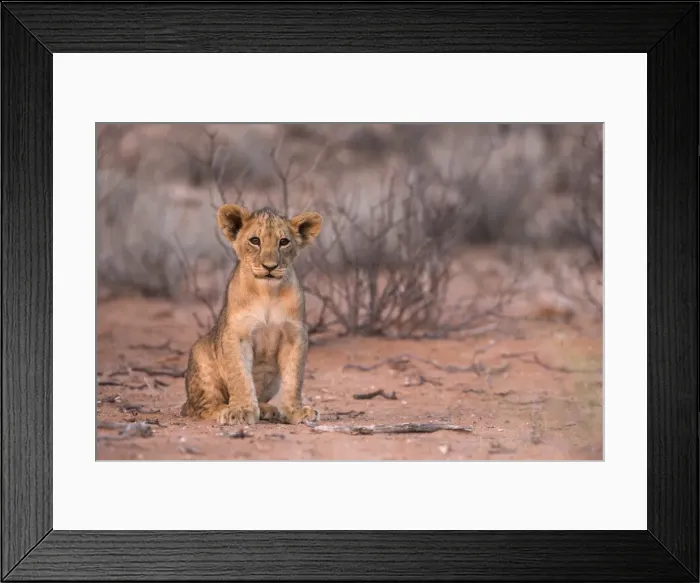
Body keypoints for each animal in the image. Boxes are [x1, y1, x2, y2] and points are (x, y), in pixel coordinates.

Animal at [180, 204, 322, 425]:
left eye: (284, 242)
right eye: (255, 240)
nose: (270, 267)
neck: (267, 291)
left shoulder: (295, 335)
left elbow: (294, 377)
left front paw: (296, 411)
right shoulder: (237, 334)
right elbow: (240, 376)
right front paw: (241, 410)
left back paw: (266, 409)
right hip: (200, 354)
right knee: (202, 408)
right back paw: (225, 409)